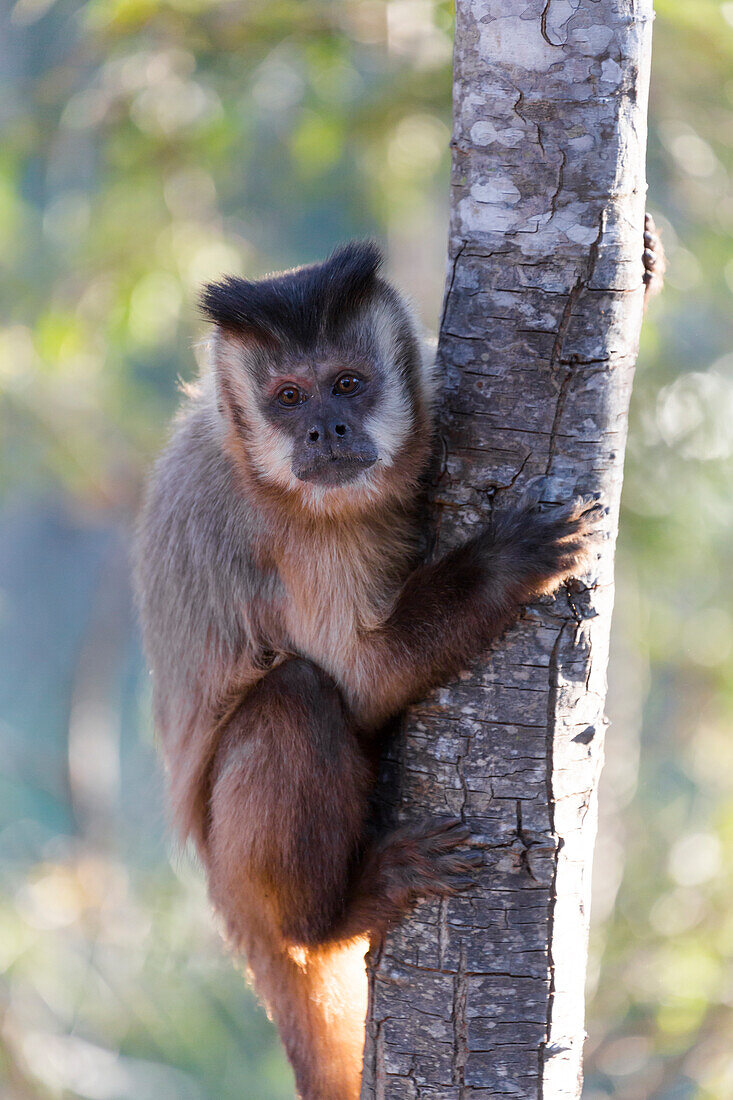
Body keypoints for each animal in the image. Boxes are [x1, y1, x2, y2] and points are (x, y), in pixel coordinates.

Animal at [134, 243, 625, 1100]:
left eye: (347, 384)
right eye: (287, 397)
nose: (324, 430)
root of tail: (226, 903)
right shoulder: (297, 533)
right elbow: (362, 679)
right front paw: (501, 565)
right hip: (243, 876)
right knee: (297, 695)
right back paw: (335, 914)